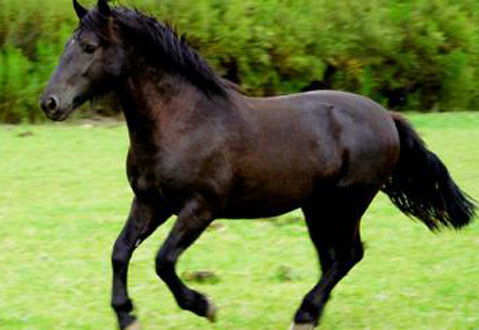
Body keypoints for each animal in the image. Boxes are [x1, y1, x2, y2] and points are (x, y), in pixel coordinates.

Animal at [41, 1, 476, 328]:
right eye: (69, 45)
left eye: (89, 47)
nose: (50, 103)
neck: (185, 121)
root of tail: (387, 116)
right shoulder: (150, 202)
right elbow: (119, 251)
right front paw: (126, 316)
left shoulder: (200, 208)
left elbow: (164, 261)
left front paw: (204, 305)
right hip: (317, 208)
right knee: (332, 258)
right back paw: (310, 314)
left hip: (349, 202)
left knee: (348, 255)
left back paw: (305, 313)